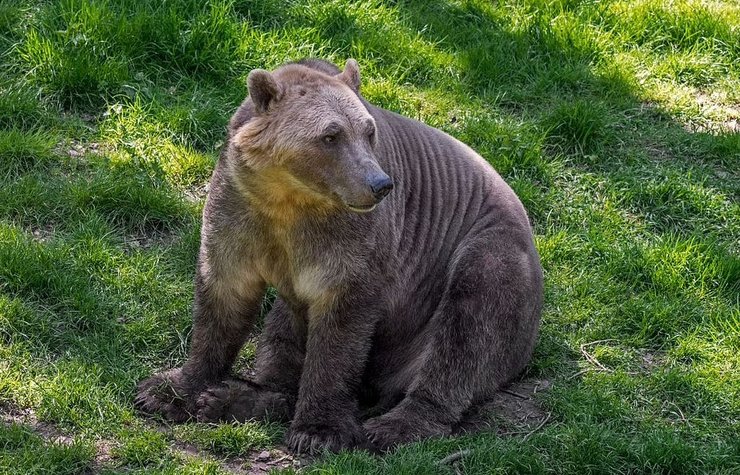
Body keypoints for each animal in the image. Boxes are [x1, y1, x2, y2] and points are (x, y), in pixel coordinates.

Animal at [135, 58, 543, 454]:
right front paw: (167, 390)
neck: (289, 198)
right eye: (331, 136)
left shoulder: (352, 242)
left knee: (467, 325)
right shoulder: (239, 208)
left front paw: (320, 430)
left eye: (368, 131)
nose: (380, 184)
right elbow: (224, 293)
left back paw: (395, 425)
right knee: (281, 331)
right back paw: (233, 399)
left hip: (485, 254)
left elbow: (341, 326)